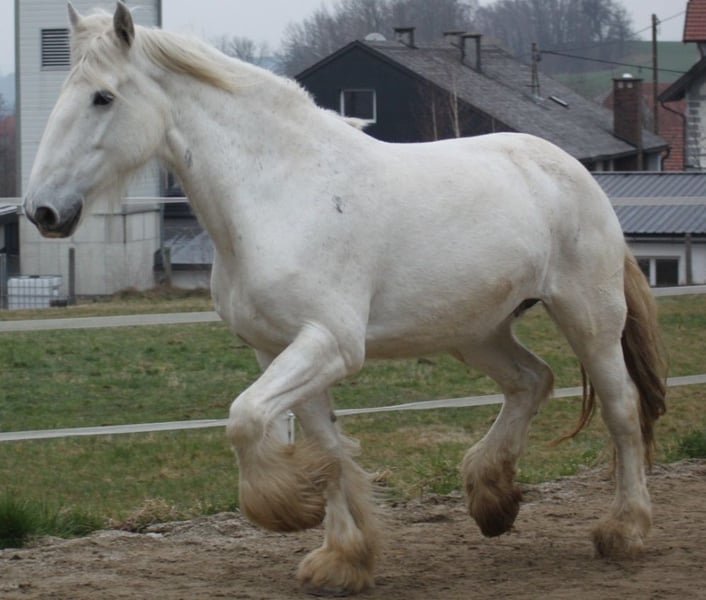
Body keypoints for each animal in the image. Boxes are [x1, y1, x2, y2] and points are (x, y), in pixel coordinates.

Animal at [24, 3, 667, 595]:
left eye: (102, 97)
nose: (43, 211)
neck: (279, 192)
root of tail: (571, 170)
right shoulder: (276, 349)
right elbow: (325, 447)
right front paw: (343, 557)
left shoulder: (328, 343)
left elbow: (246, 419)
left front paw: (289, 511)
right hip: (476, 331)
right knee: (531, 381)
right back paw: (493, 500)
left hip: (589, 317)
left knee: (621, 409)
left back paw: (625, 530)